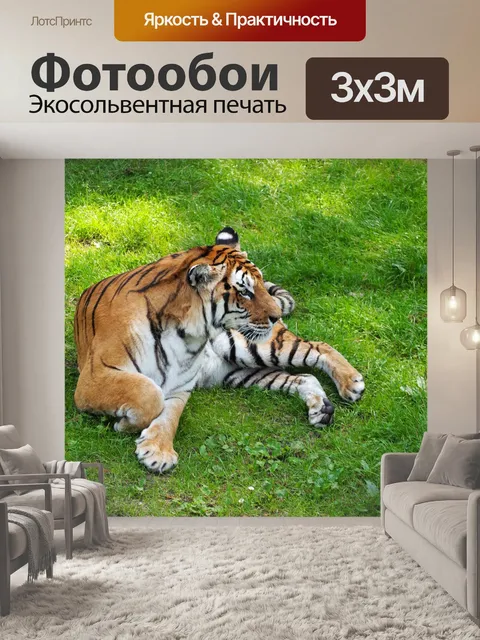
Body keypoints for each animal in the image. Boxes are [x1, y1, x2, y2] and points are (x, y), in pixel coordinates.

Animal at [74, 227, 365, 473]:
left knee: (319, 346)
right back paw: (322, 409)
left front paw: (156, 449)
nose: (275, 315)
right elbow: (150, 394)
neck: (185, 334)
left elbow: (168, 416)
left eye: (260, 284)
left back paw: (351, 384)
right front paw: (133, 430)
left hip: (252, 347)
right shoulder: (94, 377)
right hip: (239, 371)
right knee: (305, 375)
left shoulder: (180, 385)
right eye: (245, 291)